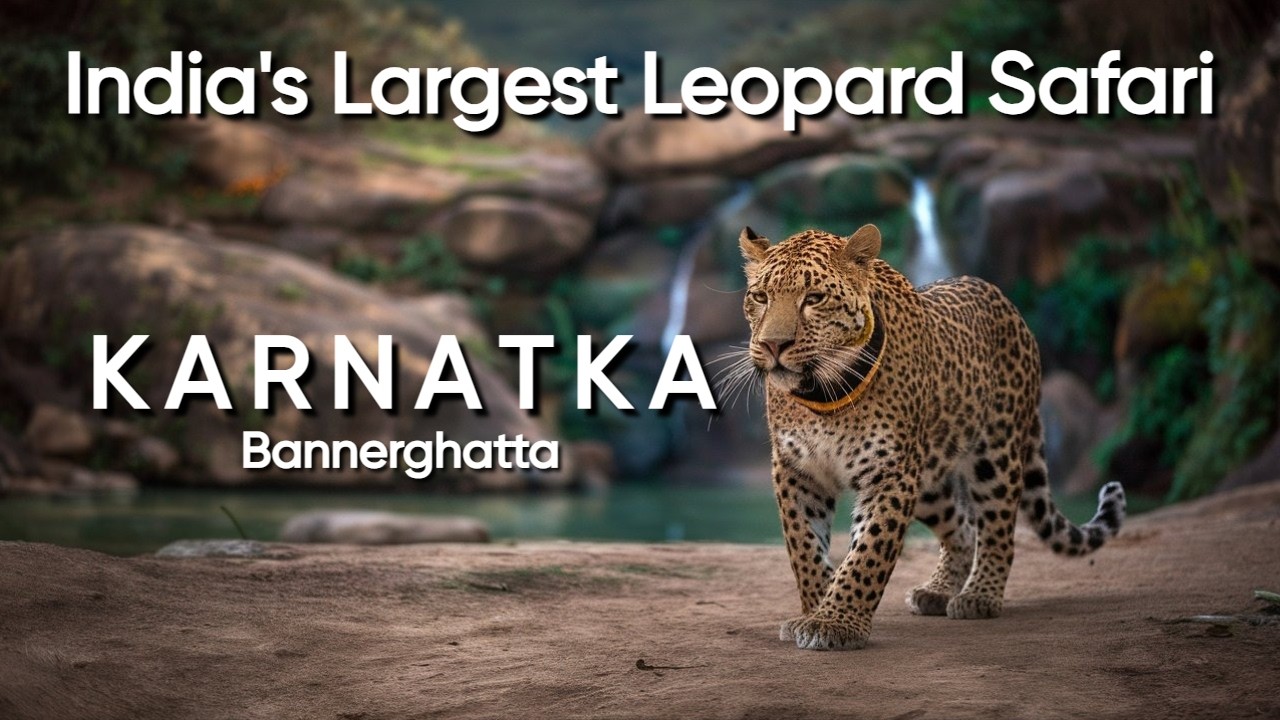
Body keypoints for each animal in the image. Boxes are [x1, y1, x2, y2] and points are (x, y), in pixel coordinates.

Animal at [734, 223, 1126, 651]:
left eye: (814, 298)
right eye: (760, 297)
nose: (773, 345)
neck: (826, 393)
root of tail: (1003, 299)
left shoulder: (890, 473)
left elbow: (867, 553)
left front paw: (836, 622)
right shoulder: (796, 471)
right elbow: (804, 549)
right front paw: (815, 609)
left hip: (995, 453)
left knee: (997, 529)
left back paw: (979, 596)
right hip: (930, 479)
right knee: (963, 528)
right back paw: (937, 591)